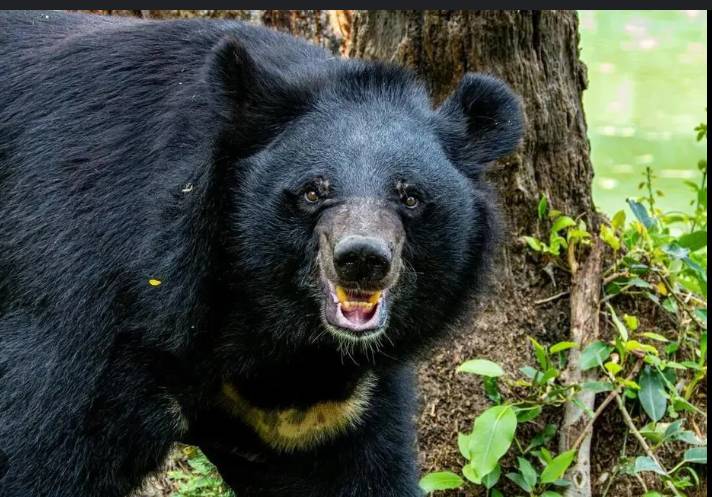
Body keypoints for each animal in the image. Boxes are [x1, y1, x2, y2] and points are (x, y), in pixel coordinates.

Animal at [0, 10, 523, 497]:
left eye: (410, 197)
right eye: (313, 191)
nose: (362, 259)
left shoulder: (333, 410)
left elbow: (359, 474)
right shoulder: (88, 307)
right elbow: (38, 450)